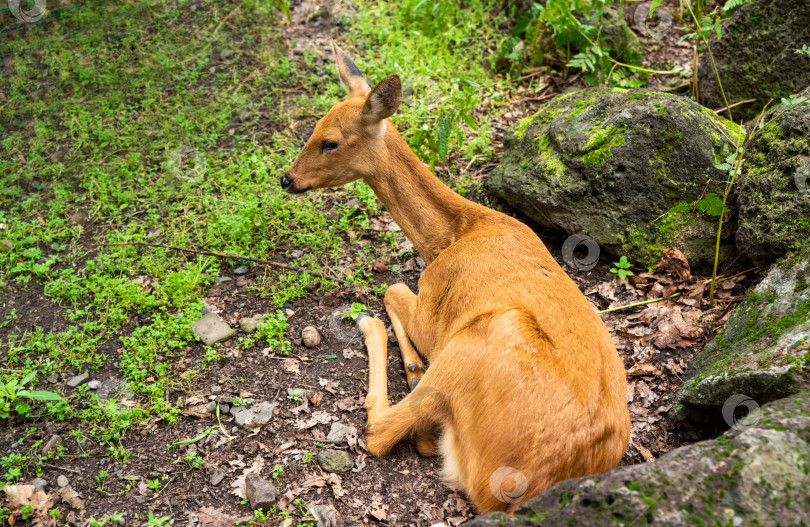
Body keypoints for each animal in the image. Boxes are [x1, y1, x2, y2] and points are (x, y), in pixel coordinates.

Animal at [280, 42, 628, 516]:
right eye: (312, 128)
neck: (452, 236)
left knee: (383, 432)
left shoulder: (434, 308)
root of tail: (524, 487)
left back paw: (381, 339)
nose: (287, 179)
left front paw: (401, 349)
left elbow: (392, 286)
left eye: (330, 142)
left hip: (478, 340)